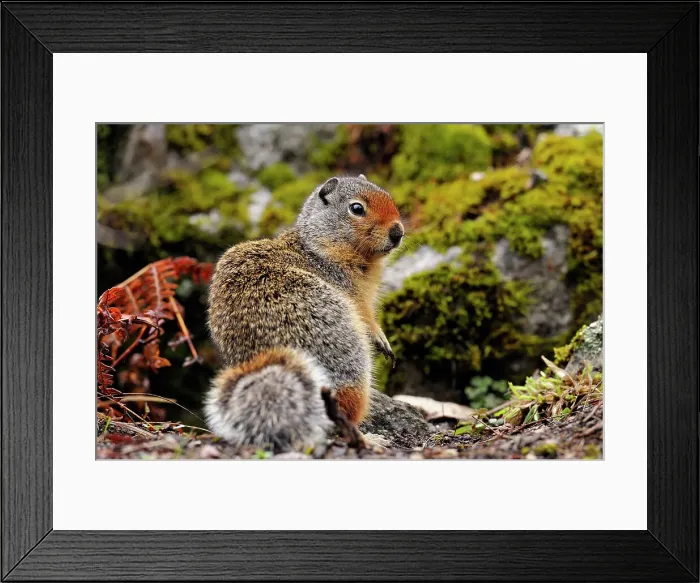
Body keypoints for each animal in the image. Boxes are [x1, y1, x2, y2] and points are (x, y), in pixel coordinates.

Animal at [205, 175, 404, 450]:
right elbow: (367, 318)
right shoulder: (353, 293)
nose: (398, 232)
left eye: (388, 196)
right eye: (357, 208)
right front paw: (381, 339)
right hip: (353, 366)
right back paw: (371, 439)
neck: (319, 246)